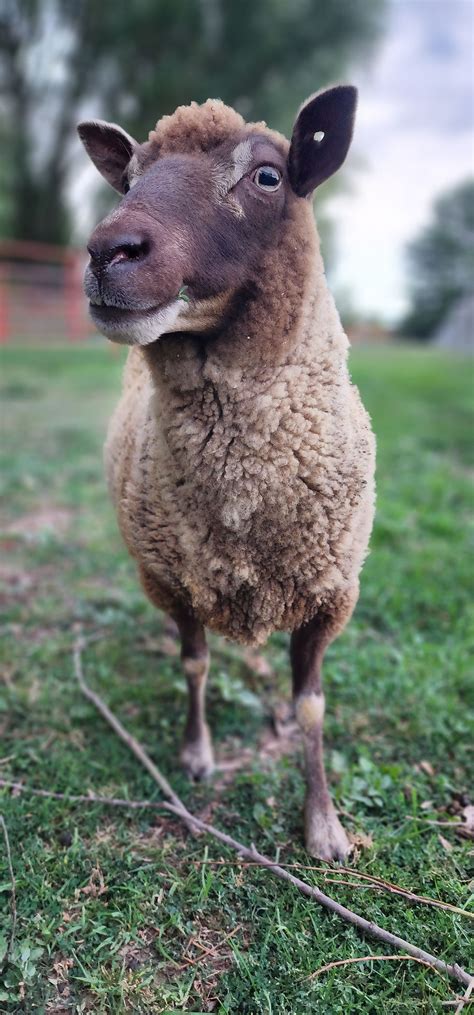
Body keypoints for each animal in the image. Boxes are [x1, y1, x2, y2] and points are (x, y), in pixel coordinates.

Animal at [78, 89, 377, 864]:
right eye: (129, 178)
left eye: (267, 177)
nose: (106, 251)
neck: (245, 493)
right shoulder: (172, 577)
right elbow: (194, 665)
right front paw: (196, 755)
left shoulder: (331, 593)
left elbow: (311, 705)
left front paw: (324, 827)